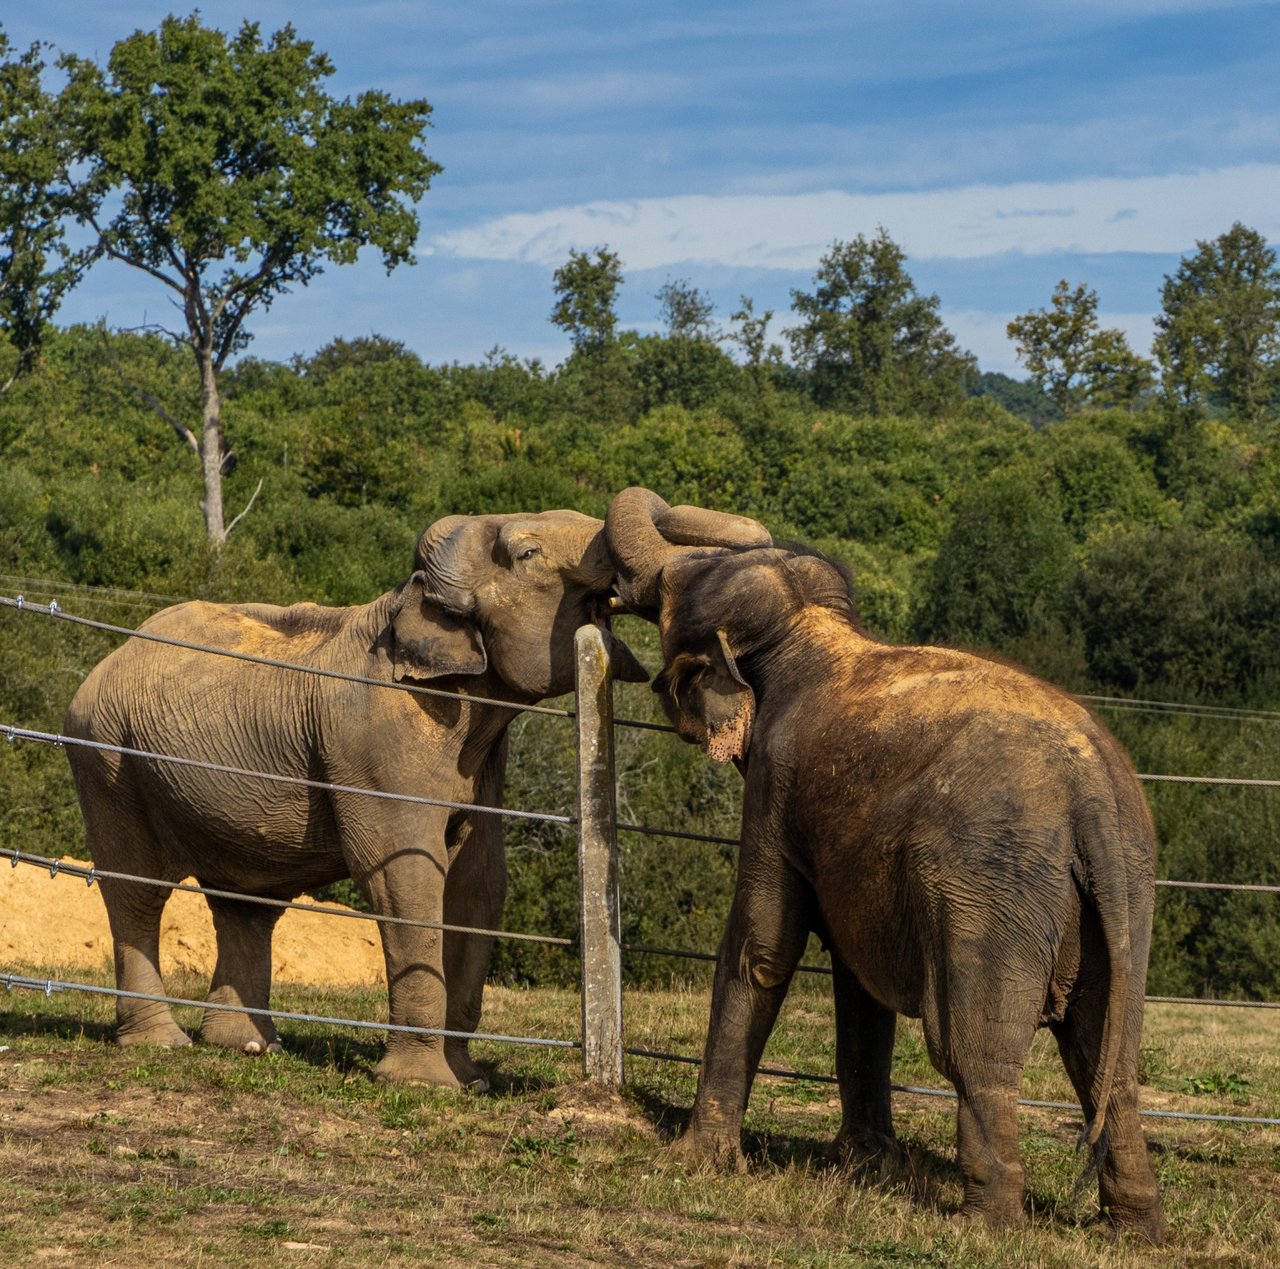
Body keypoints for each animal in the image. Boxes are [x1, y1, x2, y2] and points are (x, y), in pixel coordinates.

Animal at [64, 501, 762, 1085]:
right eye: (528, 553)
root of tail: (104, 661)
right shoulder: (377, 737)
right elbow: (404, 874)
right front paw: (422, 1084)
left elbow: (480, 881)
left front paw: (469, 1080)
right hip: (106, 758)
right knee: (136, 888)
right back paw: (161, 1044)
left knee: (248, 904)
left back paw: (249, 1047)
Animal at [604, 486, 1167, 1239]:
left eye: (671, 594)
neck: (811, 630)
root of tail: (1094, 799)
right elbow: (856, 977)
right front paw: (866, 1166)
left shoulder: (776, 788)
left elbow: (762, 947)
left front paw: (696, 1161)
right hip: (1126, 893)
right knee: (1109, 1060)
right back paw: (1137, 1229)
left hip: (993, 891)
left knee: (973, 1052)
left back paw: (984, 1225)